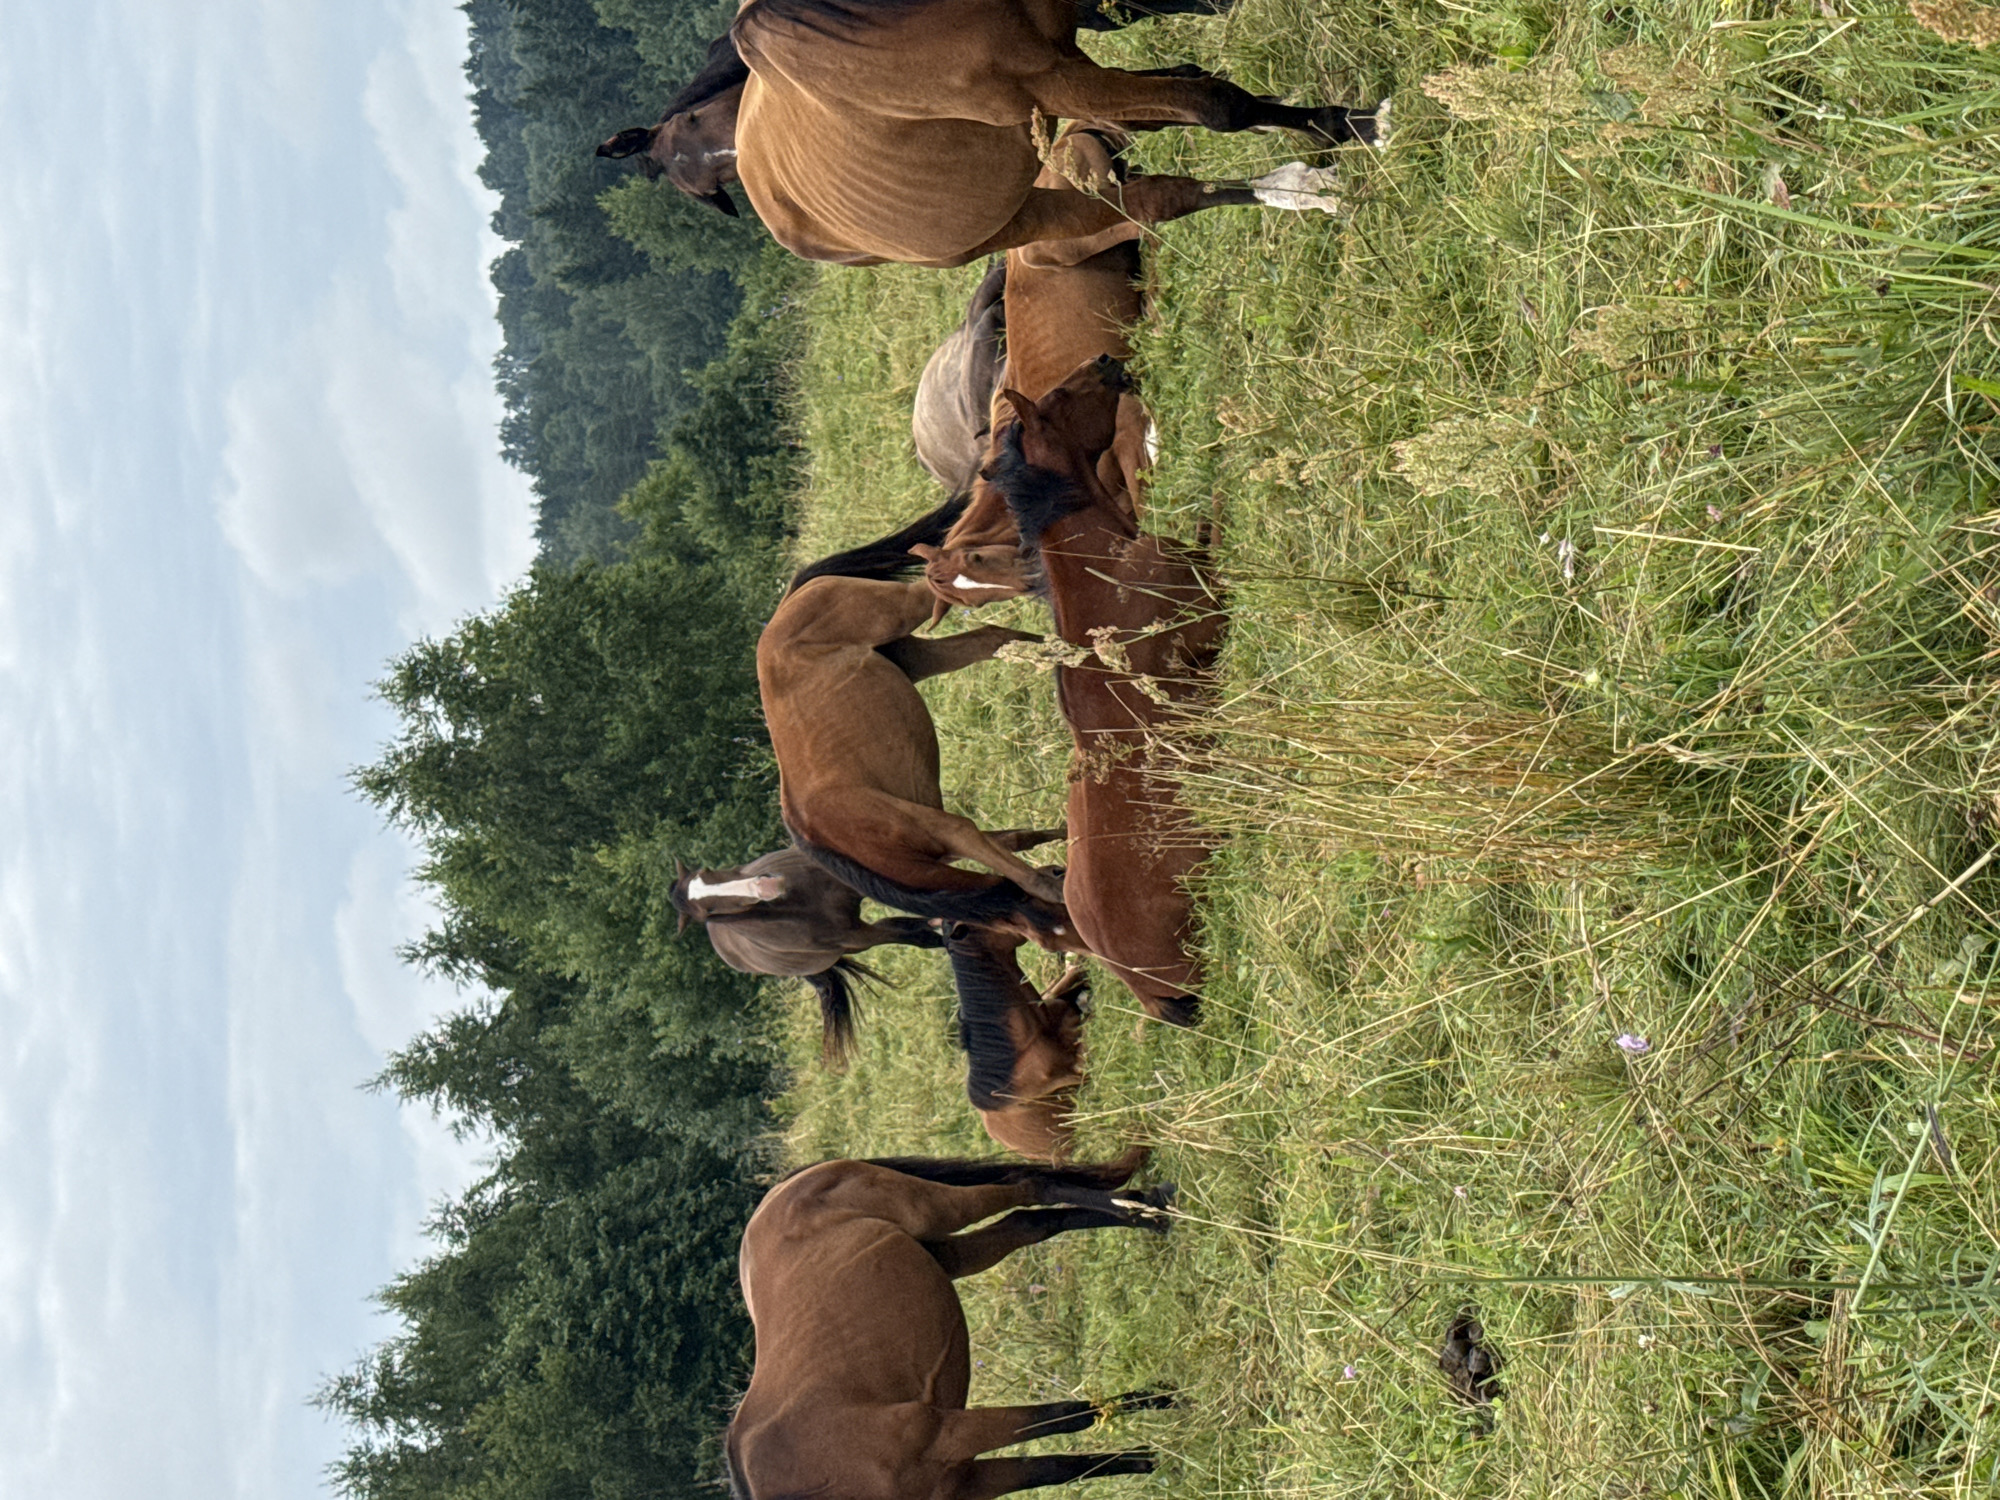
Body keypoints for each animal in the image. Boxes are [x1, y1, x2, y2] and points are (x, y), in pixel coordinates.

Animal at [597, 0, 1386, 267]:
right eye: (701, 187)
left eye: (696, 125)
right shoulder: (1052, 81)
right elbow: (1216, 104)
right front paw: (1350, 124)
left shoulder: (1066, 58)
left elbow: (1191, 91)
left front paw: (1339, 126)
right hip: (1025, 218)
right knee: (1162, 201)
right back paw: (1314, 191)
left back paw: (1307, 190)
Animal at [671, 847, 946, 1065]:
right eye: (709, 910)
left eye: (707, 869)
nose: (767, 886)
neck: (803, 902)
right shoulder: (861, 936)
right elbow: (910, 933)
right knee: (906, 932)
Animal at [726, 1152, 1177, 1500]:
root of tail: (777, 1194)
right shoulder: (968, 1480)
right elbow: (1058, 1468)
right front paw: (1147, 1455)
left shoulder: (951, 1432)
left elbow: (1066, 1415)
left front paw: (1163, 1401)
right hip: (949, 1253)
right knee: (1028, 1222)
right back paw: (1144, 1210)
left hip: (931, 1209)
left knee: (1029, 1186)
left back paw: (1146, 1211)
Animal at [761, 495, 1078, 944]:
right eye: (1051, 938)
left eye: (979, 556)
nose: (1033, 573)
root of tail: (784, 611)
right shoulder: (942, 836)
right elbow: (1025, 867)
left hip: (904, 631)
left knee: (981, 632)